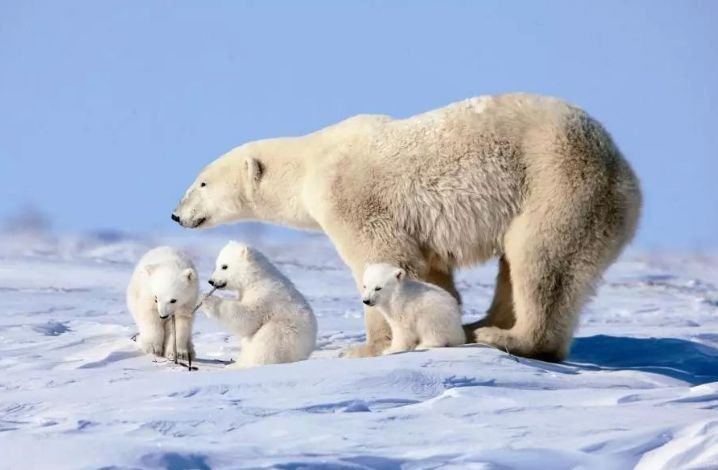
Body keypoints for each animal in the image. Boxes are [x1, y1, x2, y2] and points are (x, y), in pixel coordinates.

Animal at [173, 93, 640, 362]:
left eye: (201, 182)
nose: (176, 214)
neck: (309, 164)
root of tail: (621, 165)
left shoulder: (352, 197)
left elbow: (381, 257)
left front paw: (366, 347)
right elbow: (430, 273)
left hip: (561, 183)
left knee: (540, 258)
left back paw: (505, 336)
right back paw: (478, 326)